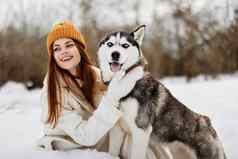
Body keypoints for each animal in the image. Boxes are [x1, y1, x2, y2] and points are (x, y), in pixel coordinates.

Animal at [96, 25, 226, 159]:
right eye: (110, 44)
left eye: (125, 45)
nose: (115, 54)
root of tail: (207, 123)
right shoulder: (117, 130)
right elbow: (112, 152)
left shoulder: (141, 131)